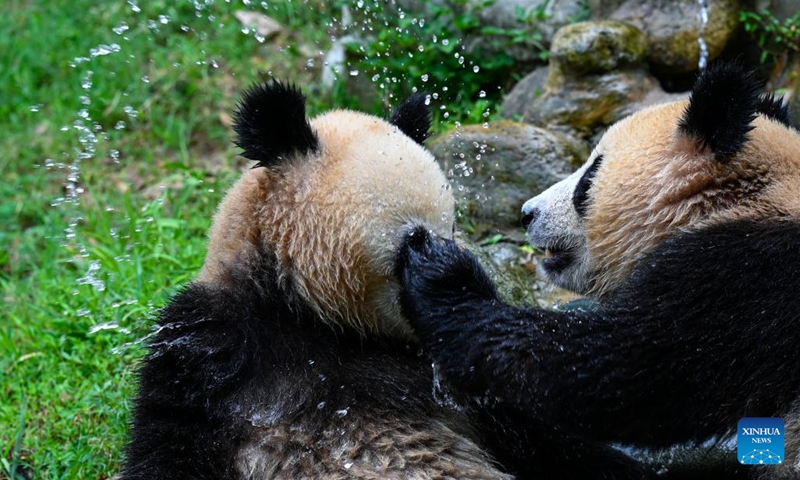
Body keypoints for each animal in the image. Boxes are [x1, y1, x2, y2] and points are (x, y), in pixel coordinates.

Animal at [397, 62, 800, 480]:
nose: (527, 213)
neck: (739, 197)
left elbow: (619, 369)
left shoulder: (752, 274)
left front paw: (441, 276)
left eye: (588, 178)